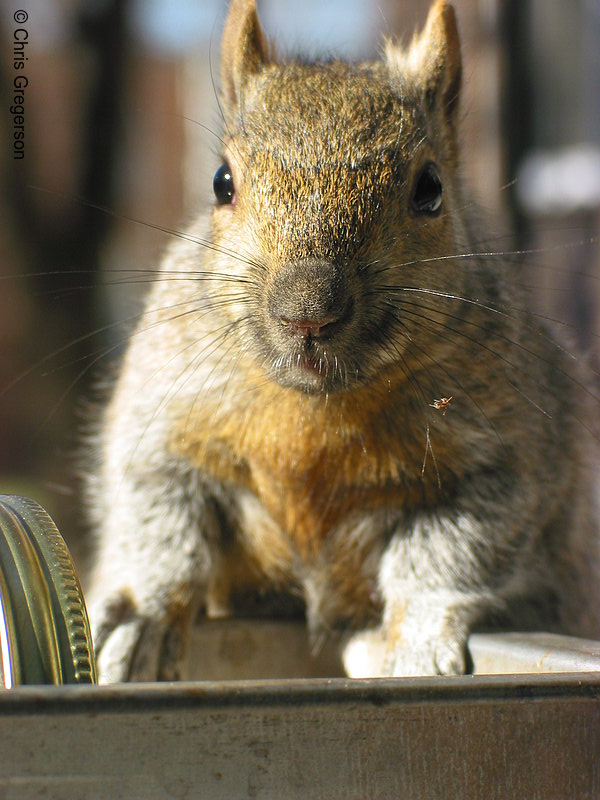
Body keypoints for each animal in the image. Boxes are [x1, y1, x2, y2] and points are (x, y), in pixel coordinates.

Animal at [85, 0, 600, 680]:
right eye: (222, 181)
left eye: (430, 188)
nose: (307, 314)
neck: (315, 409)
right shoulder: (161, 421)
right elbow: (159, 517)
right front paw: (141, 614)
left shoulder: (507, 456)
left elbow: (450, 551)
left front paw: (415, 644)